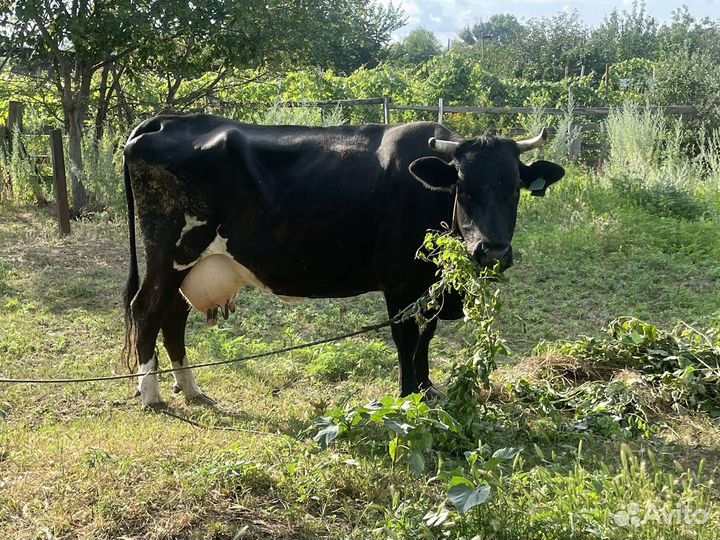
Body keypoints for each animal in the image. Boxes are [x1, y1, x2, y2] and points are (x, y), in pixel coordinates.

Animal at [122, 115, 565, 408]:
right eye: (463, 187)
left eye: (514, 187)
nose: (492, 251)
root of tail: (164, 121)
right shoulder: (401, 281)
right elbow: (406, 338)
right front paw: (408, 396)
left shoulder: (428, 287)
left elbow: (427, 335)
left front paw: (427, 388)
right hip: (169, 253)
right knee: (147, 310)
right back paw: (152, 395)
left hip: (191, 264)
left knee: (172, 318)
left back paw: (191, 389)